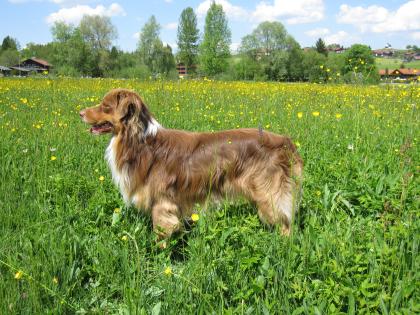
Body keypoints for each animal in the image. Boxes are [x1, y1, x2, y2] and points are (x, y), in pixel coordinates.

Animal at [79, 89, 302, 242]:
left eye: (105, 106)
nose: (80, 112)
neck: (141, 141)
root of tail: (286, 142)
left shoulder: (162, 202)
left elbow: (161, 232)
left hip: (269, 193)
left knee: (286, 222)